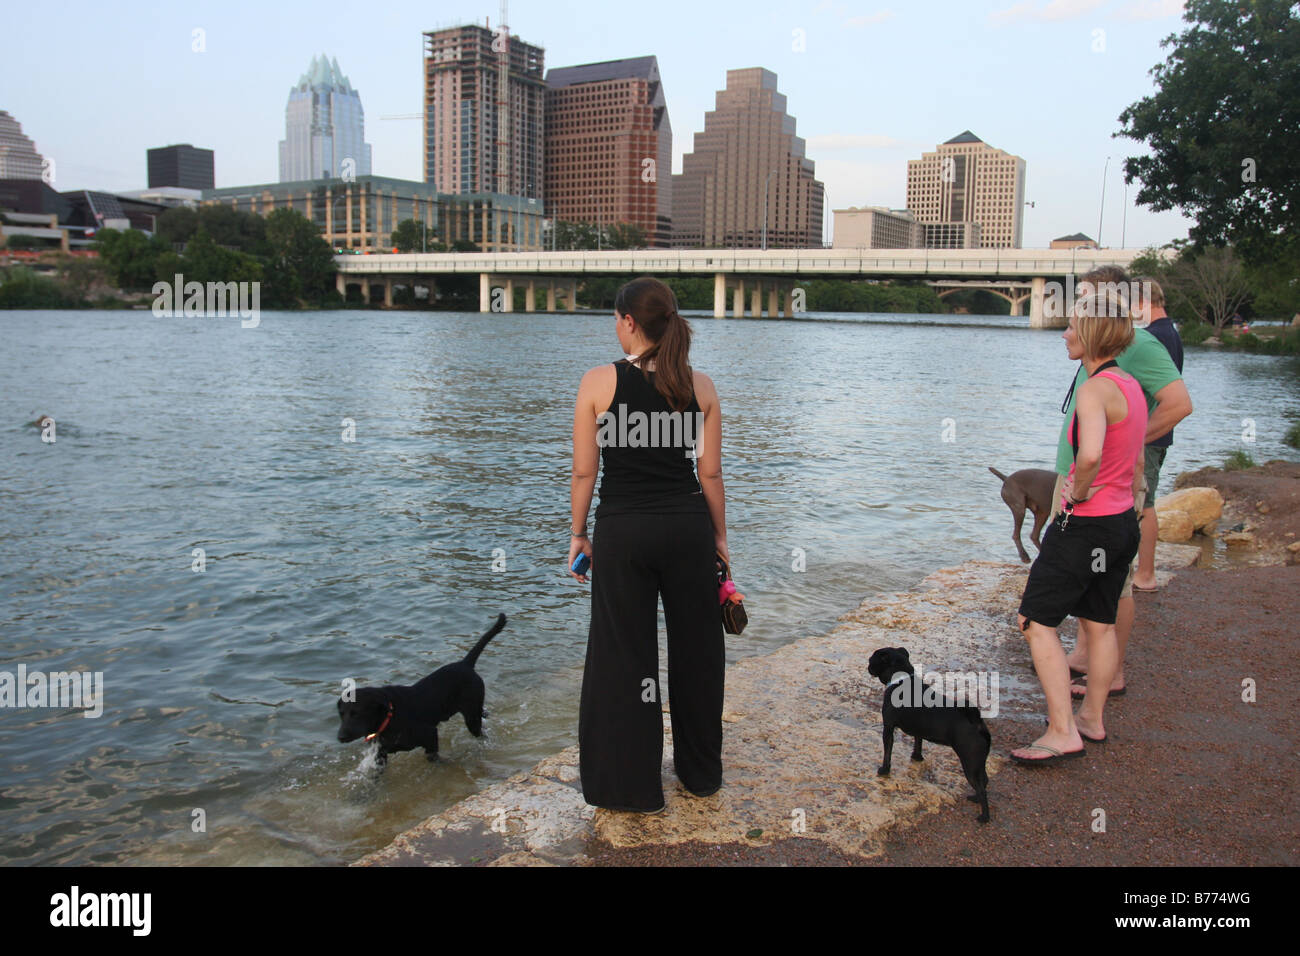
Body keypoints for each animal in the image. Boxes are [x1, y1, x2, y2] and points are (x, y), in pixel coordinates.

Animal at [338, 613, 504, 770]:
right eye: (341, 714)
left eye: (356, 713)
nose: (340, 736)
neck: (389, 718)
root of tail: (465, 664)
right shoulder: (380, 755)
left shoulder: (430, 734)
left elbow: (433, 757)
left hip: (471, 718)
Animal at [868, 647, 987, 827]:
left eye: (871, 660)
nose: (867, 666)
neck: (902, 679)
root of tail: (977, 721)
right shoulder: (919, 730)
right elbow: (918, 743)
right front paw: (917, 757)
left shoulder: (888, 727)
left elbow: (887, 752)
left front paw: (884, 770)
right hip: (979, 763)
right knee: (985, 782)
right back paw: (975, 798)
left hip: (970, 763)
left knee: (982, 789)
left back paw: (984, 816)